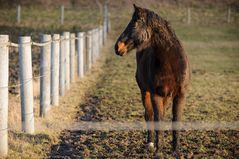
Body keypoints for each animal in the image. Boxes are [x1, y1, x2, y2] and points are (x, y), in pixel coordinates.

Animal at [115, 4, 191, 154]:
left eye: (135, 23)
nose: (117, 47)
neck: (170, 63)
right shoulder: (156, 95)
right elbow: (157, 119)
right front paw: (158, 150)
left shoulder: (180, 95)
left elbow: (176, 120)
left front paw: (176, 150)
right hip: (145, 92)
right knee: (148, 115)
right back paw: (150, 144)